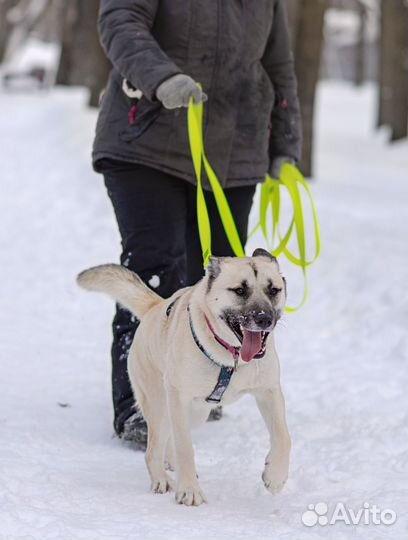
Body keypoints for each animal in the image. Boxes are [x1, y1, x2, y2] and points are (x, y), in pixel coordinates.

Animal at [77, 249, 290, 506]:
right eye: (240, 290)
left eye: (273, 290)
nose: (264, 318)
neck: (231, 357)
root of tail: (154, 308)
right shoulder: (179, 397)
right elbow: (185, 448)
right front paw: (189, 490)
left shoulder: (269, 391)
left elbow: (283, 436)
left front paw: (275, 475)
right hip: (160, 405)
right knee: (154, 449)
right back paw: (161, 478)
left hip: (195, 413)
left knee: (168, 440)